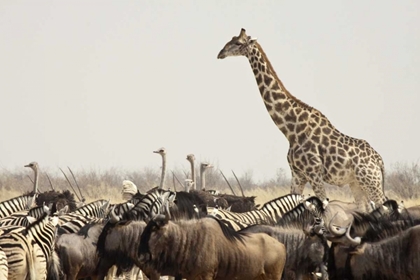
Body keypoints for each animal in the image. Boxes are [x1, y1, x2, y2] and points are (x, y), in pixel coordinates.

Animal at [218, 29, 386, 212]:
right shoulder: (297, 174)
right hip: (356, 183)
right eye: (231, 39)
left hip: (371, 182)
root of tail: (379, 161)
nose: (220, 53)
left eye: (238, 43)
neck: (291, 130)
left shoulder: (314, 173)